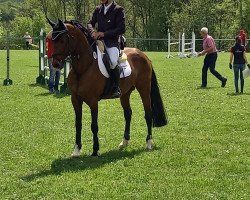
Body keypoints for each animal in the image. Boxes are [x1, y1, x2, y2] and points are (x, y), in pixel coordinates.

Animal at [47, 19, 167, 158]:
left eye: (61, 40)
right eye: (51, 40)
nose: (55, 64)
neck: (83, 67)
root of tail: (143, 55)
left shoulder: (93, 101)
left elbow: (94, 125)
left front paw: (95, 150)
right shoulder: (75, 99)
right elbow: (78, 124)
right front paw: (76, 150)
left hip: (144, 88)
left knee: (148, 114)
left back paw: (149, 143)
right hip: (125, 93)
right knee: (128, 114)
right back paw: (124, 142)